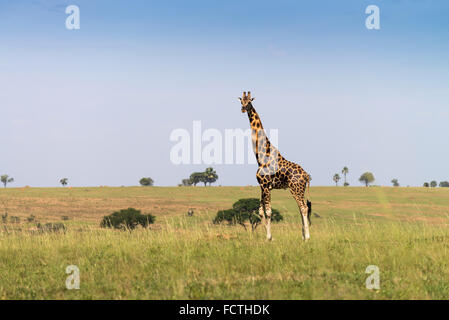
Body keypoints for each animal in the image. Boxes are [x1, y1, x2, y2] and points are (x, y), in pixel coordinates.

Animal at [238, 90, 312, 240]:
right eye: (241, 101)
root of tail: (307, 176)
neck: (261, 156)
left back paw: (307, 237)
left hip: (295, 189)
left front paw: (269, 237)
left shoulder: (266, 185)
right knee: (302, 208)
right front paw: (266, 236)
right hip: (299, 190)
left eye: (249, 102)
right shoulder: (263, 186)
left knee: (303, 208)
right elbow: (261, 211)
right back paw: (303, 236)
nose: (243, 108)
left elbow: (268, 211)